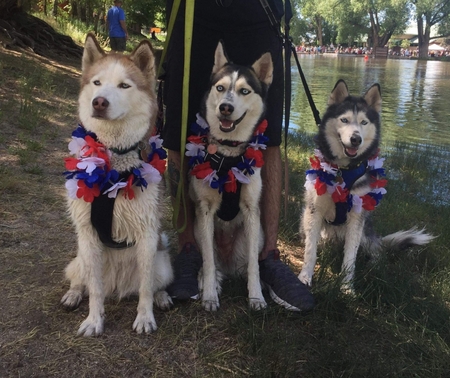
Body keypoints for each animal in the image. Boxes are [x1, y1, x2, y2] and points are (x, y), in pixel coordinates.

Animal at [62, 34, 175, 336]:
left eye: (124, 85)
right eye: (96, 83)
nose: (99, 102)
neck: (113, 162)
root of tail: (120, 287)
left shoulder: (147, 235)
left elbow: (146, 288)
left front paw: (145, 317)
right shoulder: (88, 234)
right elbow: (95, 290)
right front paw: (94, 320)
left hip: (164, 263)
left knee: (154, 284)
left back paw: (162, 297)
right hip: (79, 256)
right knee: (82, 280)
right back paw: (73, 294)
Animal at [187, 42, 274, 312]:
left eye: (245, 91)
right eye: (220, 88)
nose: (226, 107)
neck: (228, 154)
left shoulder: (251, 210)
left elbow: (254, 266)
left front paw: (256, 297)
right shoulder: (204, 209)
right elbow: (207, 260)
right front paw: (209, 296)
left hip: (254, 237)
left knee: (247, 262)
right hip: (198, 231)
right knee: (210, 261)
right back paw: (208, 281)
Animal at [298, 80, 432, 292]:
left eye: (364, 122)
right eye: (344, 120)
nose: (356, 139)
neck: (343, 171)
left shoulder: (357, 215)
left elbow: (350, 257)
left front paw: (346, 288)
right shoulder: (314, 210)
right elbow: (310, 251)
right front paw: (305, 278)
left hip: (366, 232)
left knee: (377, 251)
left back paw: (373, 266)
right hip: (305, 219)